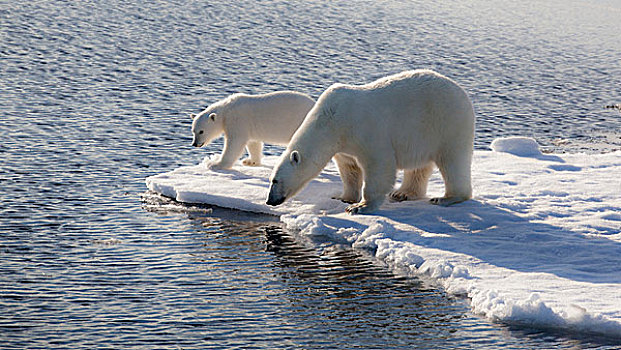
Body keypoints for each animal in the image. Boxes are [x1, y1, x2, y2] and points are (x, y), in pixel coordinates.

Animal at [266, 69, 474, 213]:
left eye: (275, 180)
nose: (270, 200)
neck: (332, 119)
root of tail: (462, 92)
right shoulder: (342, 144)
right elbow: (349, 169)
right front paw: (344, 197)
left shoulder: (365, 129)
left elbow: (379, 165)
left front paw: (360, 206)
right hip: (424, 134)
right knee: (418, 167)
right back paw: (403, 193)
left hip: (448, 123)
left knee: (453, 162)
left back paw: (447, 198)